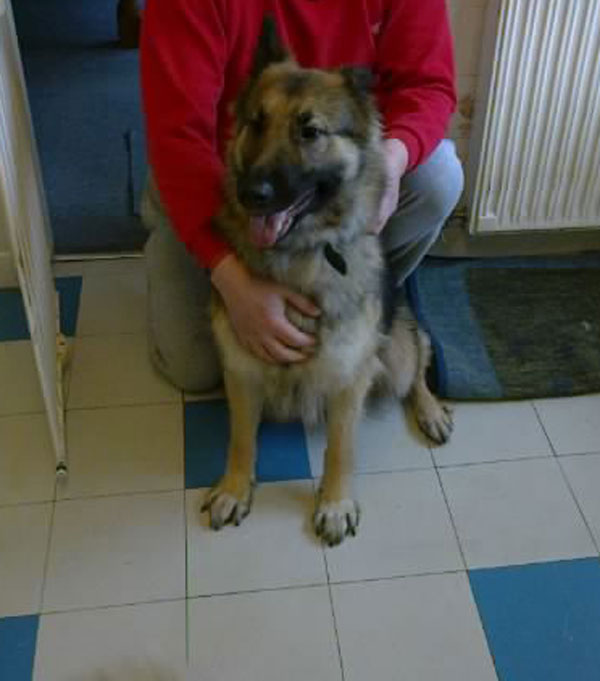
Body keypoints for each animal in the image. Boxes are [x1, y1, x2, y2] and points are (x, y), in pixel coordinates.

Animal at [202, 18, 450, 544]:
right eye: (256, 122)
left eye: (310, 131)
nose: (253, 193)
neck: (300, 257)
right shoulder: (241, 368)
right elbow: (240, 439)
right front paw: (234, 487)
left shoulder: (349, 376)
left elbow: (342, 447)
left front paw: (334, 503)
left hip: (396, 347)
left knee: (417, 363)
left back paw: (430, 409)